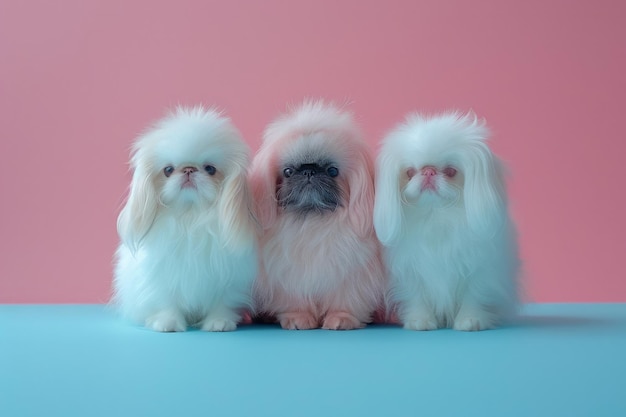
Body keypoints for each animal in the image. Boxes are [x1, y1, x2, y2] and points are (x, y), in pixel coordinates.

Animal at [112, 106, 256, 332]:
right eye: (168, 170)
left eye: (210, 169)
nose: (189, 169)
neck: (190, 215)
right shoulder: (162, 277)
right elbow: (166, 301)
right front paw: (168, 323)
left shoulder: (228, 276)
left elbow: (221, 301)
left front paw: (219, 322)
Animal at [247, 101, 382, 328]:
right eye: (288, 172)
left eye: (332, 171)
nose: (308, 171)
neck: (312, 220)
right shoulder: (287, 276)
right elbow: (295, 300)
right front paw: (298, 318)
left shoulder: (352, 275)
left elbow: (346, 299)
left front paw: (341, 318)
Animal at [372, 111, 520, 332]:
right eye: (410, 172)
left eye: (451, 171)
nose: (428, 171)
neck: (436, 215)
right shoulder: (410, 271)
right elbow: (417, 296)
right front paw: (420, 321)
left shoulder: (480, 269)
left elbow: (473, 295)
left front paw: (470, 320)